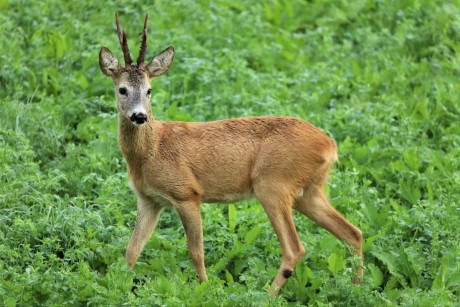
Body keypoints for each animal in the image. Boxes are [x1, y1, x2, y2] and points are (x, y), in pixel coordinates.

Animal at [98, 13, 362, 298]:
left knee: (295, 249)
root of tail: (329, 145)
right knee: (352, 232)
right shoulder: (149, 200)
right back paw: (357, 289)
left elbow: (196, 252)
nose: (139, 116)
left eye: (149, 90)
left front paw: (206, 290)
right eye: (122, 89)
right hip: (308, 191)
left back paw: (266, 296)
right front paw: (118, 288)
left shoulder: (186, 193)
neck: (152, 150)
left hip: (272, 184)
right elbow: (131, 251)